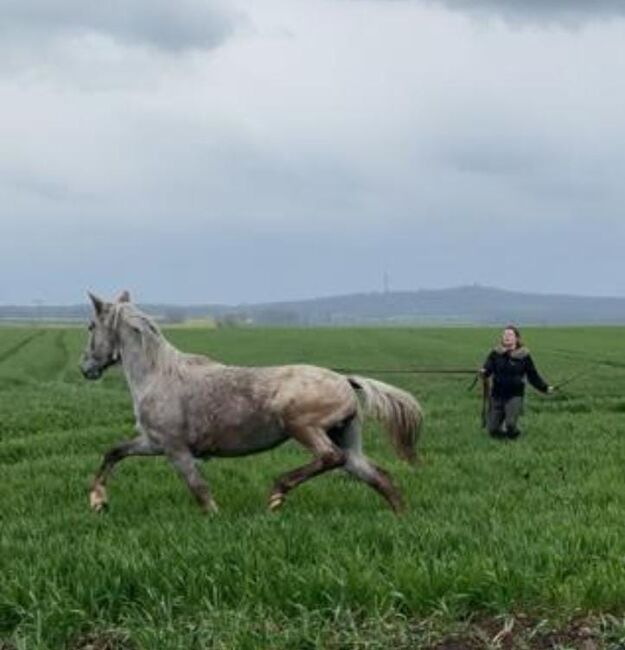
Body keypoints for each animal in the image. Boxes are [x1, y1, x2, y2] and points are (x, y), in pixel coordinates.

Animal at [77, 292, 420, 512]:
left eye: (91, 326)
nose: (86, 368)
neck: (158, 376)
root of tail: (345, 381)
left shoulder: (176, 450)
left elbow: (200, 492)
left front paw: (215, 517)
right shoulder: (153, 442)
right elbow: (114, 452)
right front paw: (97, 501)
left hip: (303, 427)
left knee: (330, 458)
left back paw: (278, 492)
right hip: (346, 438)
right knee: (376, 476)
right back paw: (401, 517)